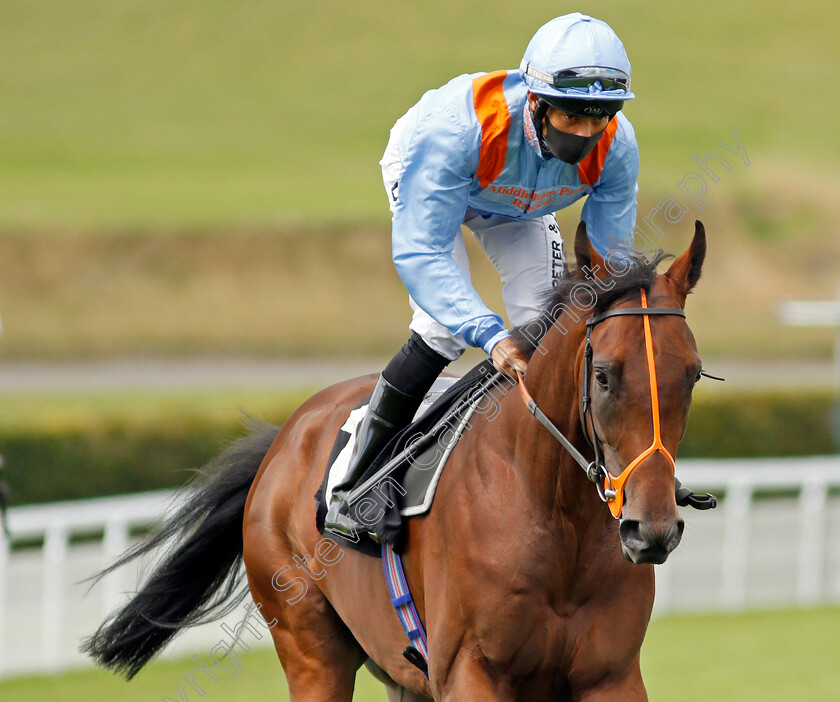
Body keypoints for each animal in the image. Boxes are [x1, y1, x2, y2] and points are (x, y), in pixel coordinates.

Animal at [85, 221, 704, 702]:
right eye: (603, 376)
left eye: (693, 374)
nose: (652, 528)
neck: (555, 513)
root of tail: (287, 435)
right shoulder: (469, 671)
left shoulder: (609, 675)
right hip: (310, 649)